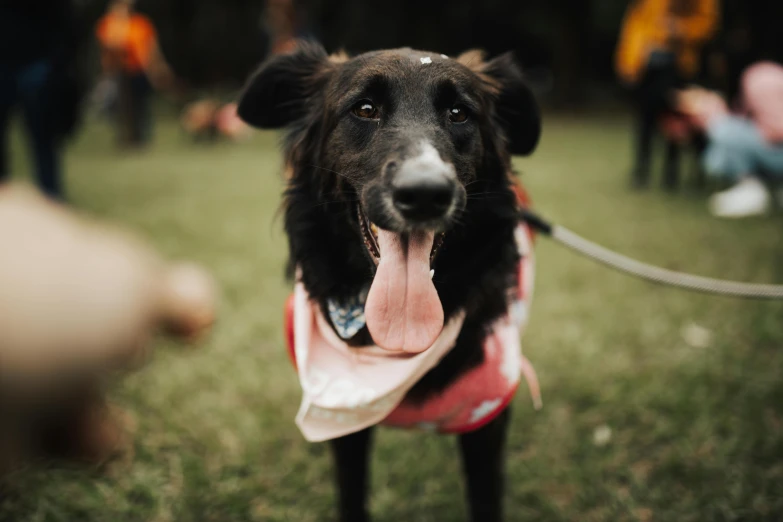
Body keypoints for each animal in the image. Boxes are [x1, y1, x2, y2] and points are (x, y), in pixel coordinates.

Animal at [239, 41, 544, 520]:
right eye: (365, 109)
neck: (394, 349)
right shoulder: (344, 424)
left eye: (459, 113)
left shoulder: (486, 420)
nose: (425, 194)